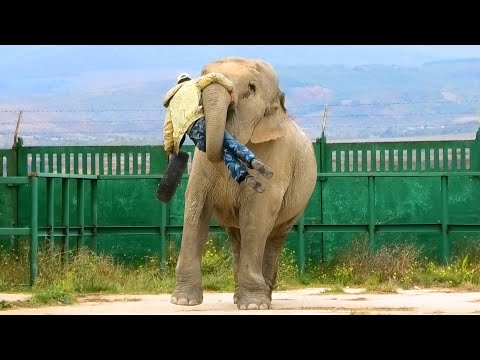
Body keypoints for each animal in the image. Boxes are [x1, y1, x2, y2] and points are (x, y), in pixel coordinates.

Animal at [170, 57, 318, 310]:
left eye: (251, 88)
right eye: (202, 74)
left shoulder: (277, 156)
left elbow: (256, 217)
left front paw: (253, 307)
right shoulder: (200, 162)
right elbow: (196, 208)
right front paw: (183, 302)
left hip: (297, 206)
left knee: (272, 237)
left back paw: (261, 298)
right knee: (237, 236)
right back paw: (240, 297)